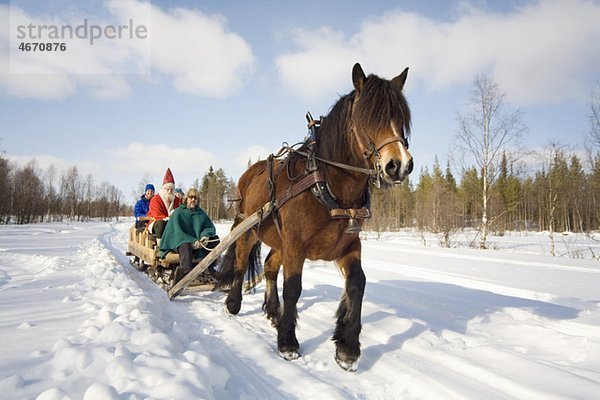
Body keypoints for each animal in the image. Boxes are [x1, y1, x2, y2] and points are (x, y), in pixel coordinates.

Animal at [218, 62, 414, 372]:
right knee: (240, 262)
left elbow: (357, 284)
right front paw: (288, 343)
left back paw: (273, 312)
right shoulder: (296, 245)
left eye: (401, 118)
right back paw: (234, 303)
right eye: (367, 117)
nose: (400, 165)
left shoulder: (348, 245)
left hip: (279, 240)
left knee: (270, 267)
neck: (325, 185)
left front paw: (347, 347)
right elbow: (293, 288)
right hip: (249, 229)